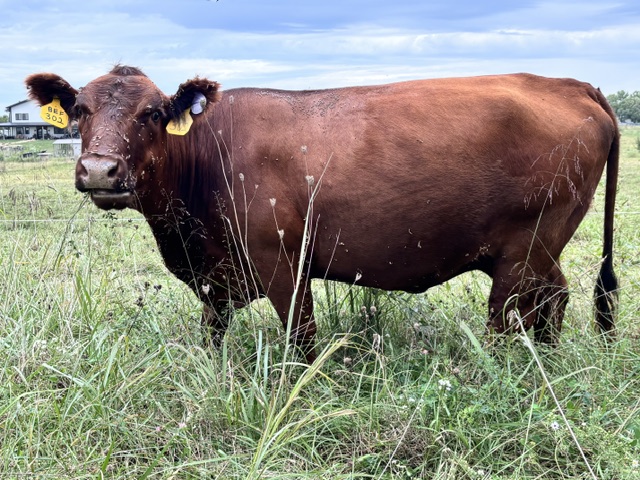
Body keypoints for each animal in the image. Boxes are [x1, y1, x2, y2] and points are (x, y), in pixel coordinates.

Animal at [25, 66, 618, 363]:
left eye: (151, 113)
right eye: (80, 110)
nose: (99, 170)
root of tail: (569, 83)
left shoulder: (282, 261)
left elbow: (301, 338)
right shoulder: (216, 276)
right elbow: (212, 333)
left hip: (524, 250)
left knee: (506, 320)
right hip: (541, 249)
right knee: (555, 299)